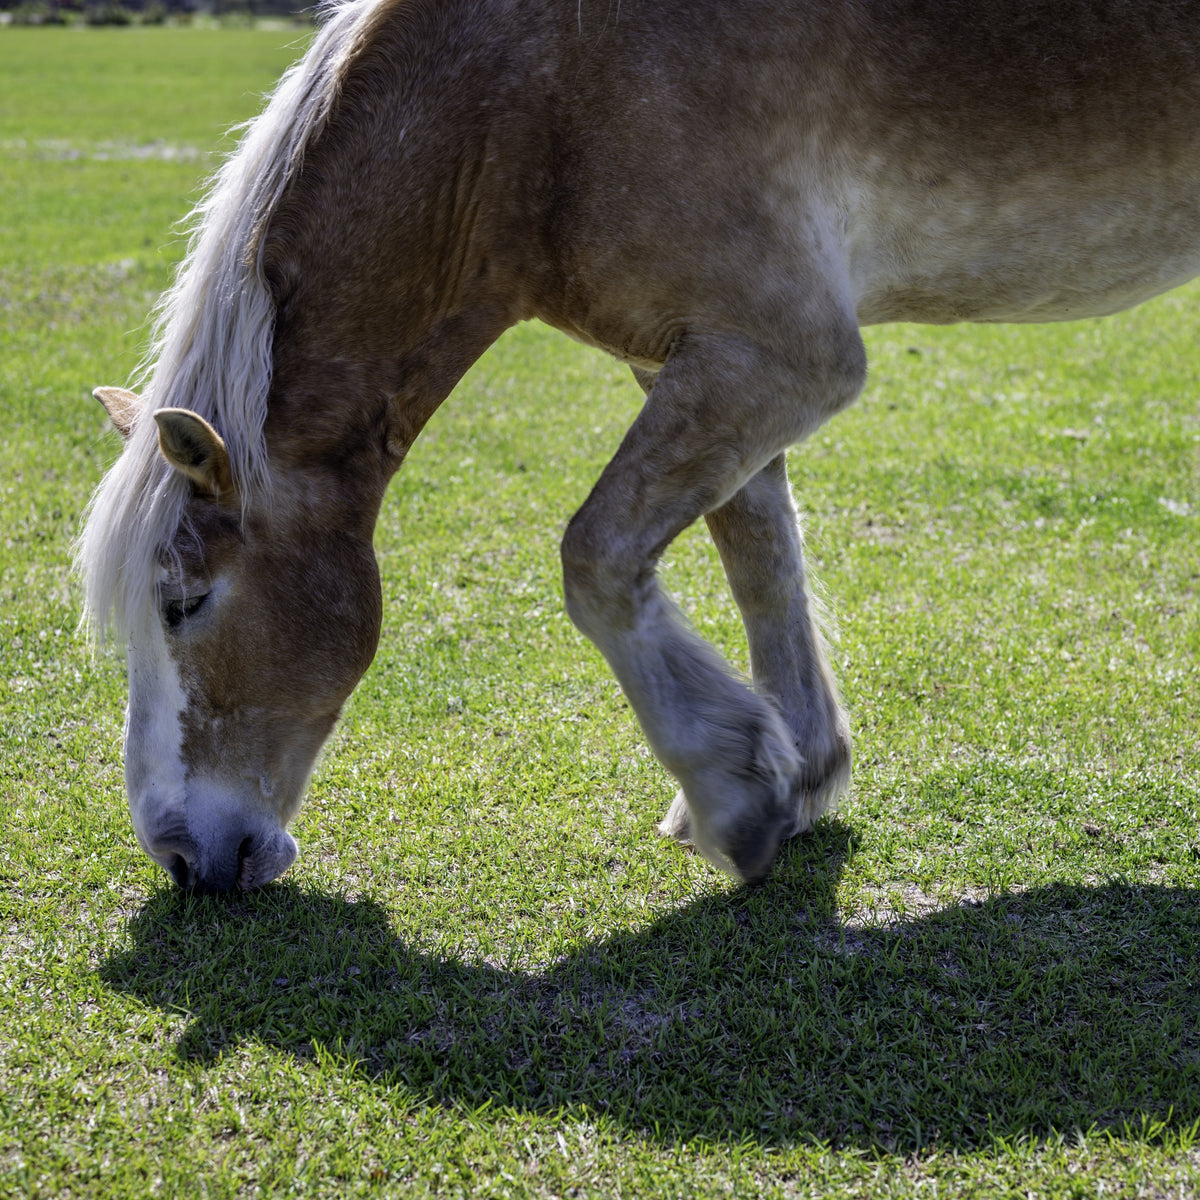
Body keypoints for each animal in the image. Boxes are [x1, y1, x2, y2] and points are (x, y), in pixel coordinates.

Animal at [78, 0, 1200, 893]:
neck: (534, 94)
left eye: (185, 603)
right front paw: (800, 772)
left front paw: (735, 795)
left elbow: (600, 558)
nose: (178, 853)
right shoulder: (696, 363)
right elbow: (760, 559)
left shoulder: (781, 358)